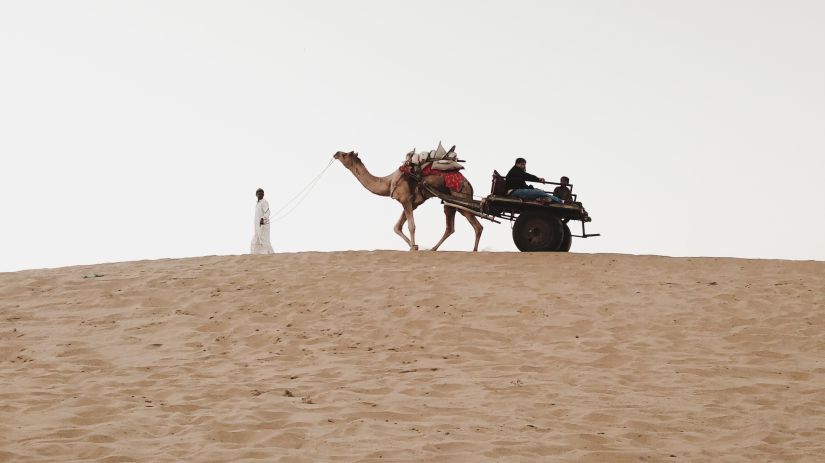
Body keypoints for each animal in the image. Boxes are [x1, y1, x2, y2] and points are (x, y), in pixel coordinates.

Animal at [334, 151, 482, 254]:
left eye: (345, 154)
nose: (336, 153)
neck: (389, 182)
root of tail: (468, 183)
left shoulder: (405, 199)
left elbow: (411, 226)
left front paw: (413, 247)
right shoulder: (412, 203)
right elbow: (397, 226)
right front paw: (414, 246)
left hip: (460, 198)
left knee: (476, 226)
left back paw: (473, 250)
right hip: (450, 203)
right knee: (452, 227)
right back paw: (434, 249)